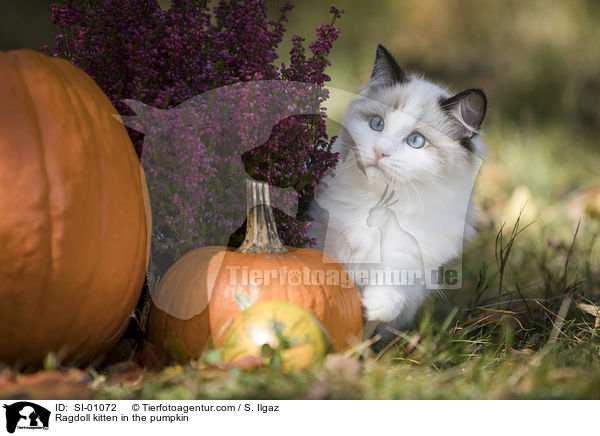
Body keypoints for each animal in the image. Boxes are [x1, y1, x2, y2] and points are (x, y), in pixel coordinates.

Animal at [310, 43, 488, 340]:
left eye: (416, 141)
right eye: (377, 125)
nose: (379, 152)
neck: (380, 207)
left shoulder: (414, 257)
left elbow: (396, 280)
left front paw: (376, 306)